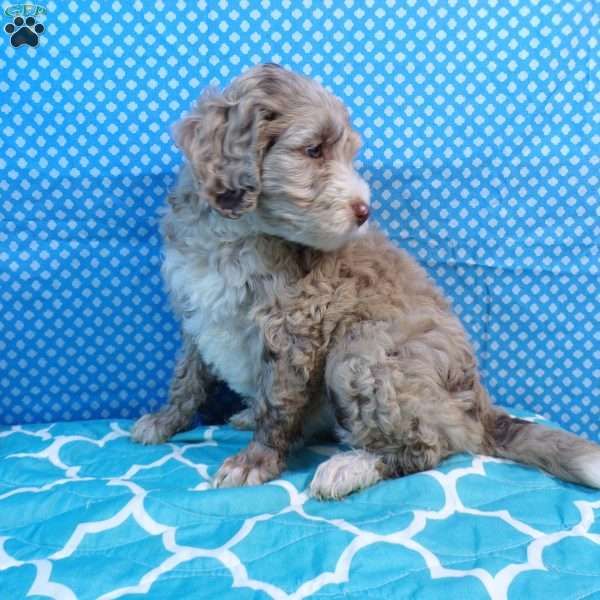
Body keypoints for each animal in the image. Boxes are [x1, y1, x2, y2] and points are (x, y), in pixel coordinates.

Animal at [131, 63, 600, 500]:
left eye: (347, 155)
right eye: (314, 150)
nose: (364, 210)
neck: (234, 235)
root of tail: (479, 408)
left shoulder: (294, 325)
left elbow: (276, 402)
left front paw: (255, 460)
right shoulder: (196, 312)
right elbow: (187, 377)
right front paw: (165, 420)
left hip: (362, 354)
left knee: (427, 447)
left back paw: (350, 467)